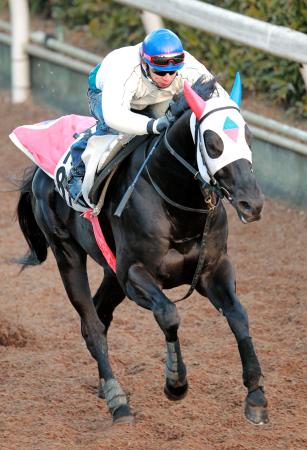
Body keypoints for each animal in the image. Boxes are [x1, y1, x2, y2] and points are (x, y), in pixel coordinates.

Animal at [15, 76, 270, 426]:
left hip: (111, 272)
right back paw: (117, 401)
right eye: (211, 141)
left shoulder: (213, 268)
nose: (252, 204)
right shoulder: (135, 274)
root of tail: (39, 173)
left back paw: (104, 386)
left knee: (100, 312)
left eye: (248, 136)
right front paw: (175, 383)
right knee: (91, 325)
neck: (178, 208)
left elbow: (239, 315)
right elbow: (169, 314)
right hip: (67, 252)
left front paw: (256, 396)